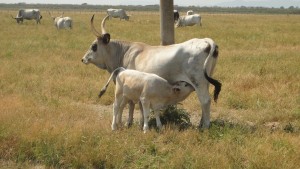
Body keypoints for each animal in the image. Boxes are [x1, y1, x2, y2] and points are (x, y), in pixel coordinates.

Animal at [81, 15, 221, 129]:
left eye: (94, 46)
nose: (83, 59)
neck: (125, 52)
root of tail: (206, 41)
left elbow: (131, 104)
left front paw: (129, 123)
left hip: (198, 82)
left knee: (205, 101)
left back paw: (205, 126)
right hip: (205, 82)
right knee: (203, 102)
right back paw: (201, 123)